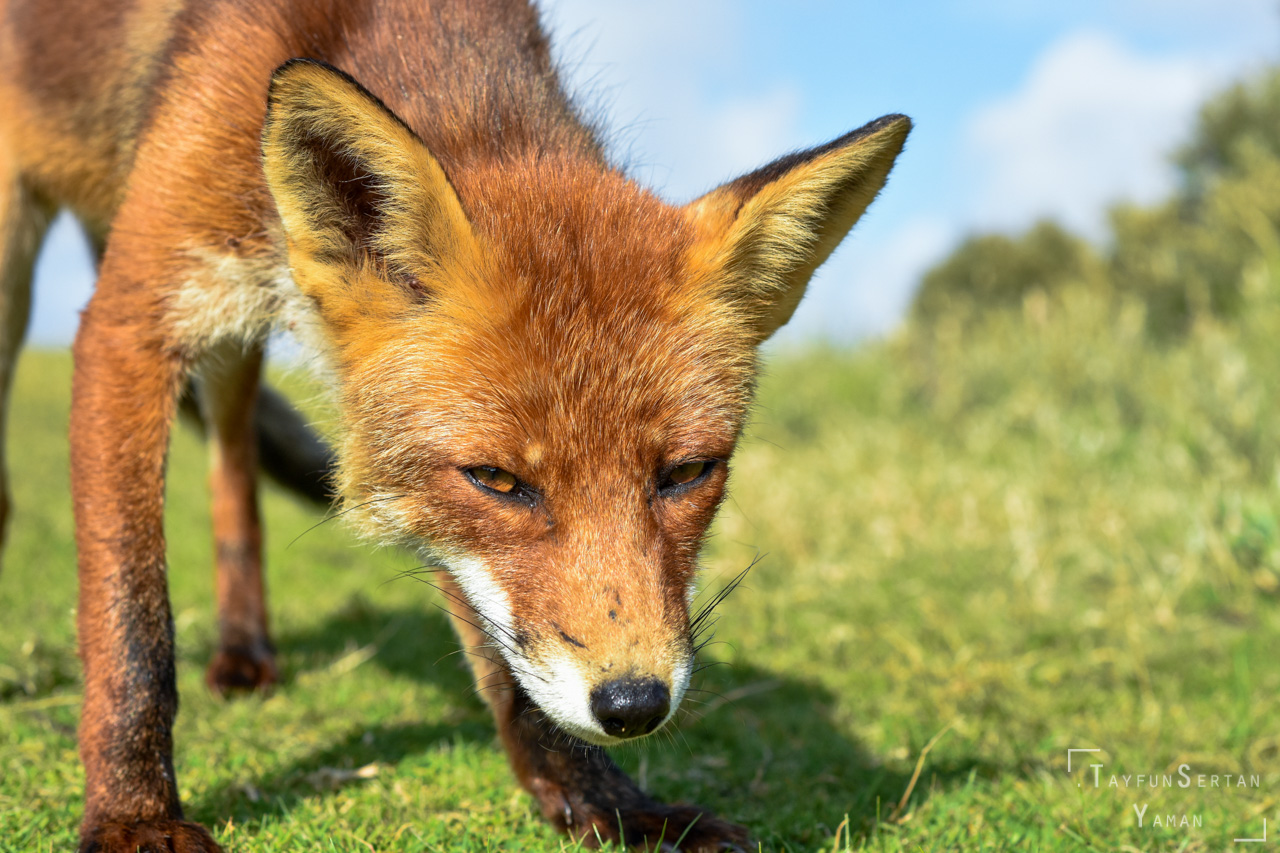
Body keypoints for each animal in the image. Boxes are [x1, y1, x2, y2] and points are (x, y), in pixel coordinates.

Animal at [0, 0, 909, 850]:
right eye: (499, 479)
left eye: (686, 472)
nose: (634, 703)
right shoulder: (131, 324)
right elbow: (131, 621)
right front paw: (133, 813)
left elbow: (499, 643)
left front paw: (602, 798)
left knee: (233, 459)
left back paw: (246, 647)